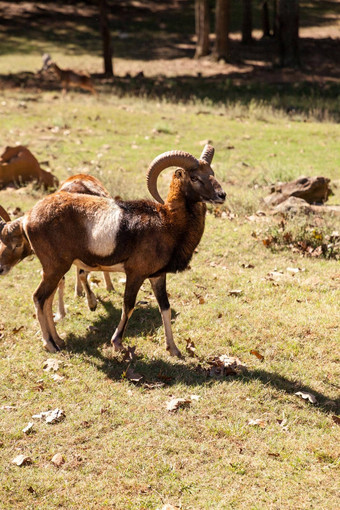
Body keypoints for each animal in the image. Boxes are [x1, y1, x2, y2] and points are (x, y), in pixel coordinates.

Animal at [1, 145, 226, 356]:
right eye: (195, 177)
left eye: (211, 172)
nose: (221, 195)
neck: (168, 223)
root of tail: (29, 218)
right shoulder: (135, 274)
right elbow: (128, 305)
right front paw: (117, 344)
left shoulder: (157, 277)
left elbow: (166, 308)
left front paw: (174, 350)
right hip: (55, 268)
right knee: (39, 298)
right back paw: (50, 345)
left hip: (54, 270)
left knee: (47, 300)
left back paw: (59, 341)